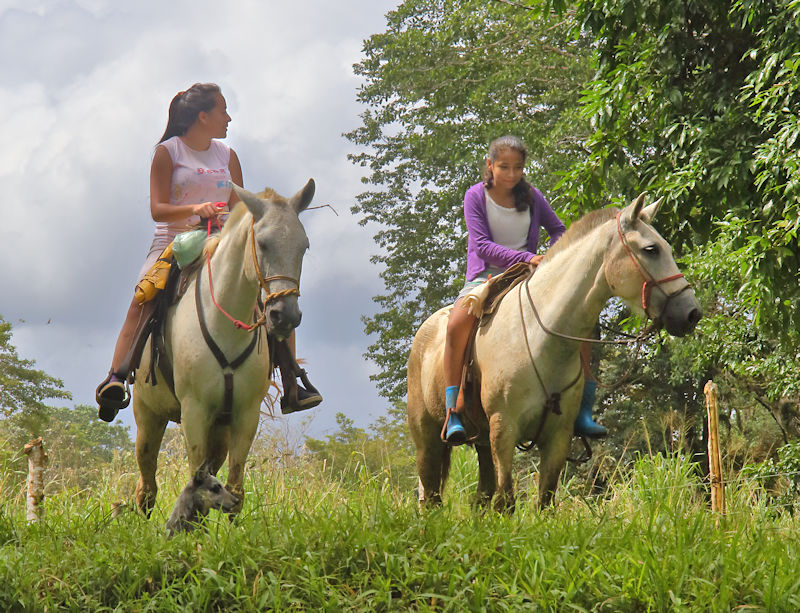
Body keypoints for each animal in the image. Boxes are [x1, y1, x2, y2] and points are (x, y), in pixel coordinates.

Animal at [130, 180, 312, 516]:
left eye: (303, 246)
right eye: (262, 243)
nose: (285, 316)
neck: (226, 324)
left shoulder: (245, 414)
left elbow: (235, 491)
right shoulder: (194, 412)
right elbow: (195, 487)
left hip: (219, 431)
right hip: (147, 417)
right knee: (146, 487)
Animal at [410, 194, 704, 510]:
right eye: (651, 249)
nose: (691, 313)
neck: (540, 340)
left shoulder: (558, 438)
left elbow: (545, 501)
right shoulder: (503, 430)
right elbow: (506, 501)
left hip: (482, 443)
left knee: (480, 496)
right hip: (428, 439)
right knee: (431, 496)